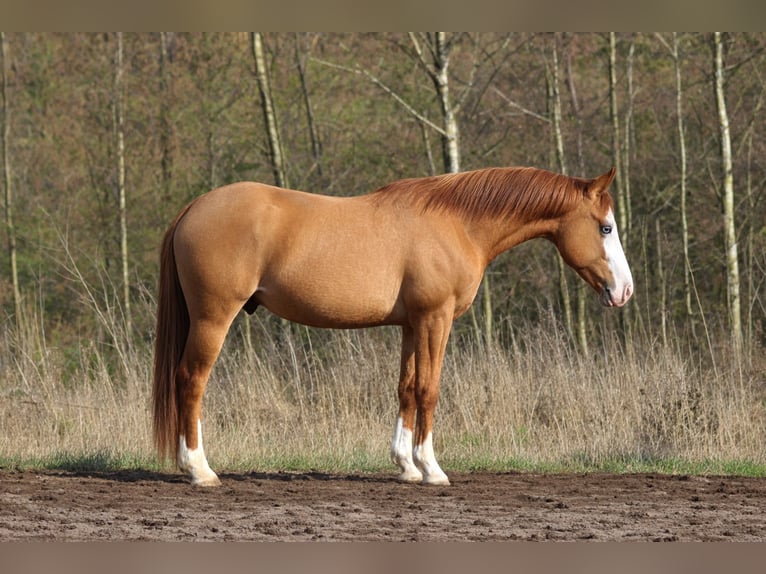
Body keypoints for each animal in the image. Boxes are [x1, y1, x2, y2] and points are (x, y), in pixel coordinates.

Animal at [152, 166, 633, 487]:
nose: (625, 291)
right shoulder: (436, 318)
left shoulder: (411, 324)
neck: (457, 223)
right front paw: (432, 469)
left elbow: (406, 388)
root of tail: (194, 207)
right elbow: (429, 389)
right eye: (606, 228)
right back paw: (199, 470)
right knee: (191, 381)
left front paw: (405, 465)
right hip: (213, 318)